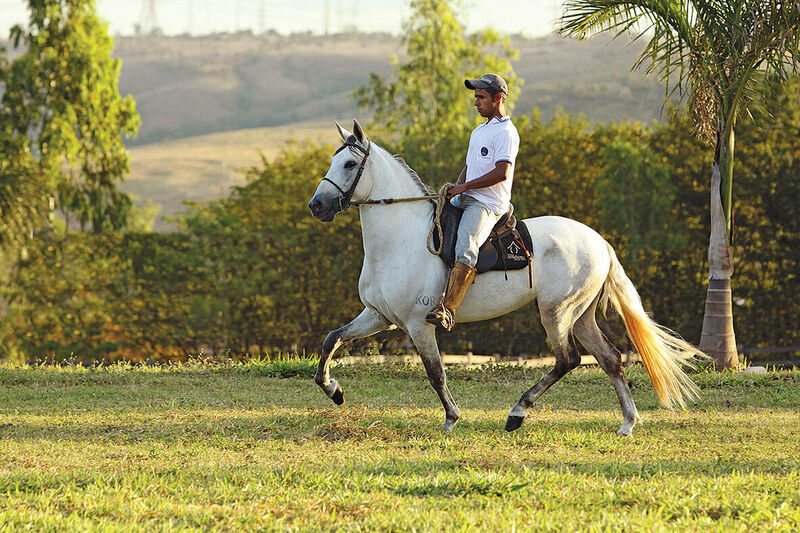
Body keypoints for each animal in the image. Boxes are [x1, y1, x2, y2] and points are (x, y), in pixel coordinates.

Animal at [306, 118, 700, 434]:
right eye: (332, 161)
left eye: (350, 163)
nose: (317, 206)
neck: (399, 238)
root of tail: (601, 242)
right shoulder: (379, 316)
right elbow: (331, 340)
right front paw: (334, 390)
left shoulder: (419, 324)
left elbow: (435, 372)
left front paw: (451, 418)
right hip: (581, 315)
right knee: (610, 359)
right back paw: (627, 423)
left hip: (556, 312)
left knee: (568, 360)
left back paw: (517, 413)